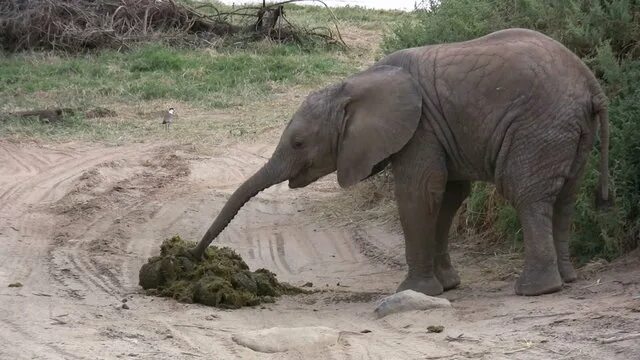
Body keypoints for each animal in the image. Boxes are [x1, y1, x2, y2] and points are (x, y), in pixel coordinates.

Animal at [190, 28, 608, 298]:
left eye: (298, 143)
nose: (193, 257)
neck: (354, 84)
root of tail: (591, 84)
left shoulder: (420, 127)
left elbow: (417, 194)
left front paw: (413, 292)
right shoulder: (437, 130)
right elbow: (448, 197)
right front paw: (446, 287)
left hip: (539, 125)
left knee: (527, 195)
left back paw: (536, 290)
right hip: (570, 129)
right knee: (566, 197)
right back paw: (567, 280)